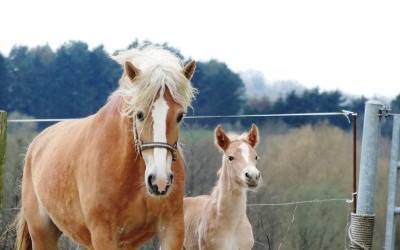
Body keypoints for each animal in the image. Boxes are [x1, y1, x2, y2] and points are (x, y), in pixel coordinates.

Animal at [15, 46, 197, 249]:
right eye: (139, 114)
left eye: (180, 115)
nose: (159, 181)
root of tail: (35, 146)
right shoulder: (103, 234)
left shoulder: (172, 228)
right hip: (42, 233)